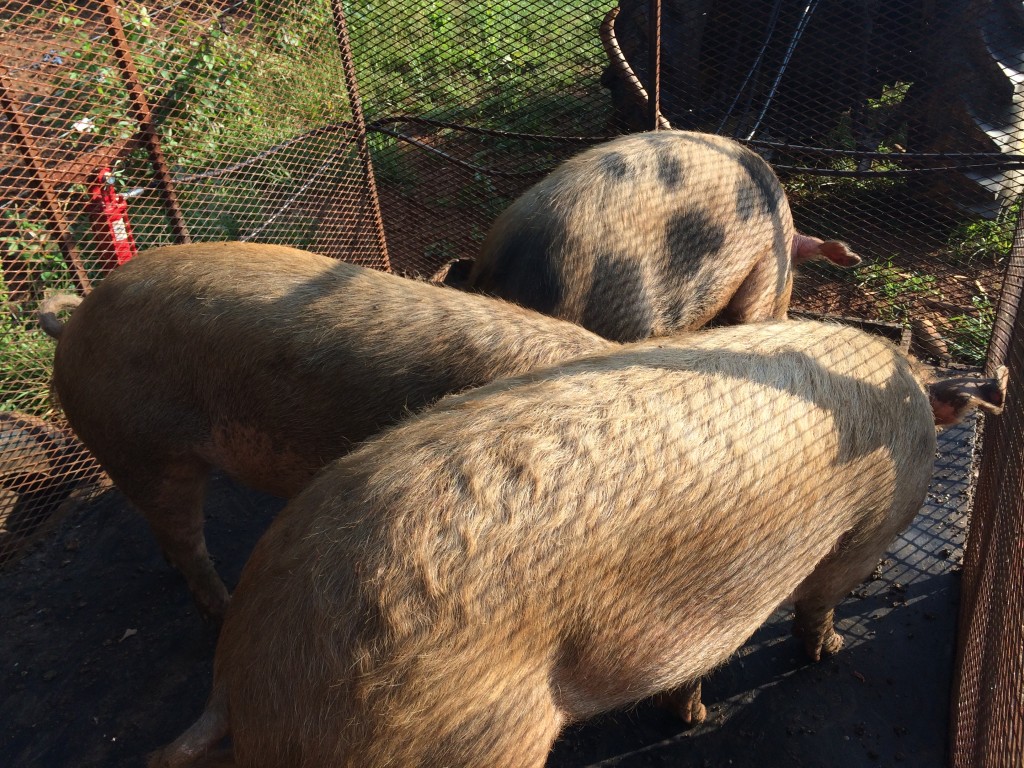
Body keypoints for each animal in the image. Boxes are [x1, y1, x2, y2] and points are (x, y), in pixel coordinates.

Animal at [148, 319, 1003, 768]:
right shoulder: (865, 531)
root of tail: (245, 674)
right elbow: (819, 600)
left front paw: (688, 715)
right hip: (464, 735)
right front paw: (830, 653)